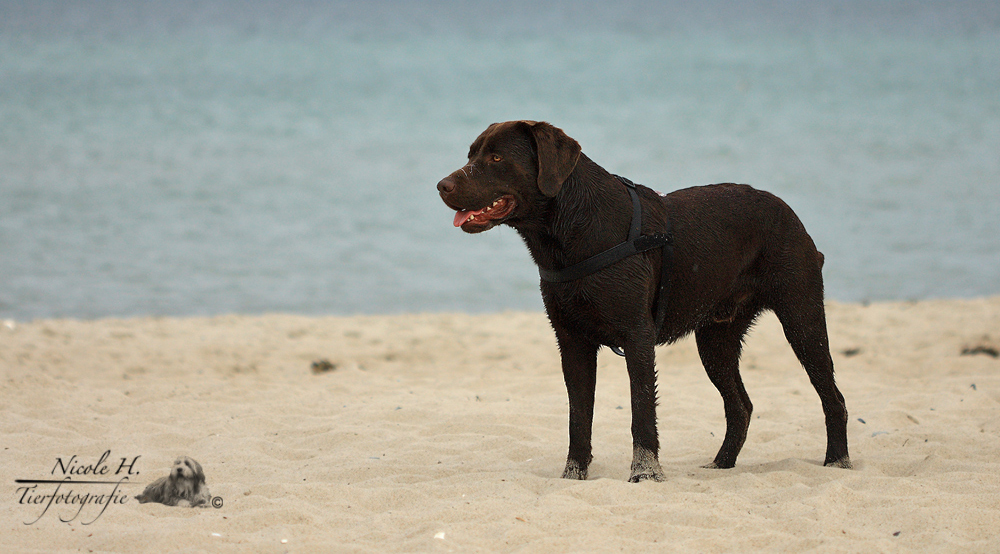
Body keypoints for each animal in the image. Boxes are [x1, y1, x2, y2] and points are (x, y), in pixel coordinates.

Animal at [438, 119, 852, 478]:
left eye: (496, 158)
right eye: (471, 153)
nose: (442, 185)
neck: (571, 229)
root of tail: (792, 216)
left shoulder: (638, 337)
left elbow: (641, 410)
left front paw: (646, 473)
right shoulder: (572, 341)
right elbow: (578, 416)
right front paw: (574, 474)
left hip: (802, 318)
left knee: (833, 397)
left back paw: (837, 461)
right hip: (716, 340)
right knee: (741, 406)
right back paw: (722, 464)